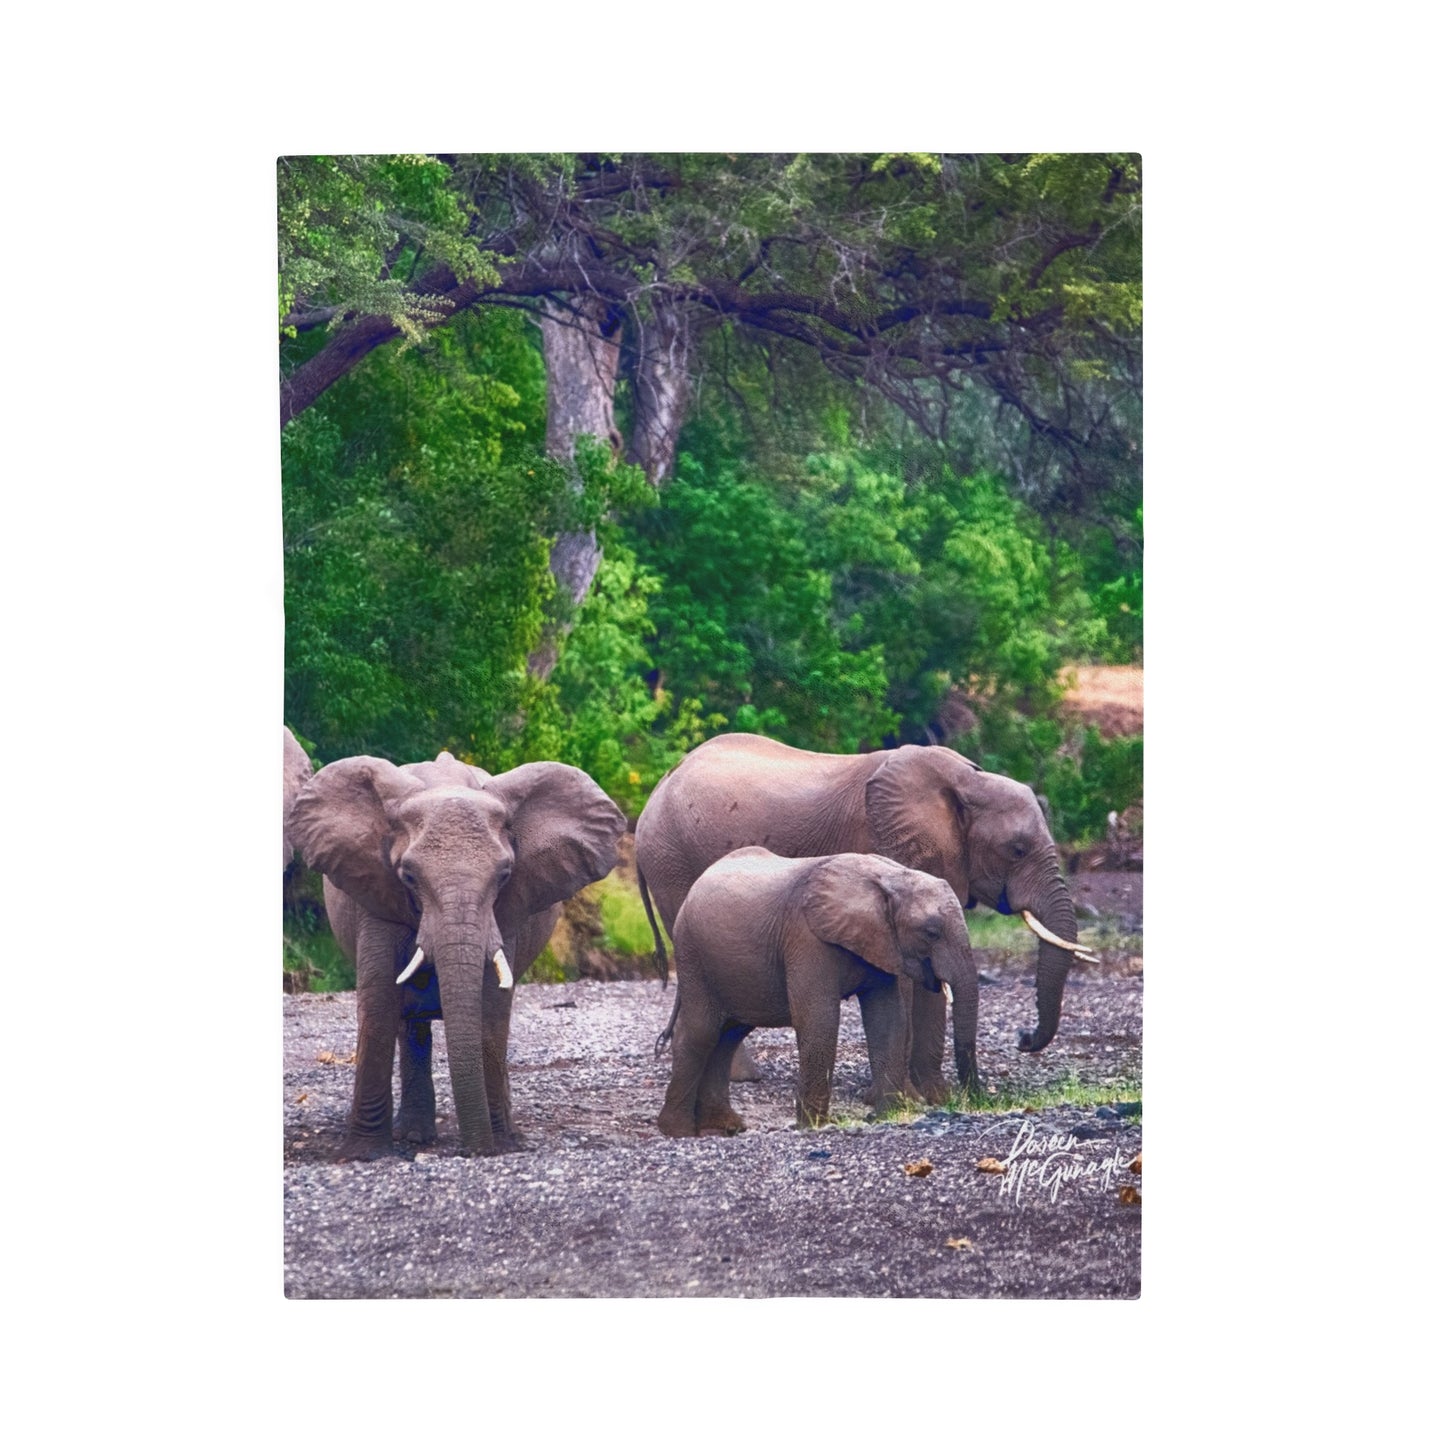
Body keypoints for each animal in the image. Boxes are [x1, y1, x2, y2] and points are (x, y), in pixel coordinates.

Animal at [290, 749, 625, 1158]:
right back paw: (413, 1136)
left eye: (504, 875)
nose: (475, 1151)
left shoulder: (506, 911)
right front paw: (362, 1155)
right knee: (410, 1024)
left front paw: (499, 1144)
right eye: (409, 877)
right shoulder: (375, 891)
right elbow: (380, 1005)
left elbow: (491, 1012)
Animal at [636, 733, 1096, 1102]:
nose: (1023, 1039)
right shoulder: (882, 844)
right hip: (672, 862)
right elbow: (905, 979)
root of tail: (655, 791)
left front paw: (936, 1097)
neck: (967, 781)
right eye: (1017, 850)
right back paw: (741, 1077)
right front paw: (907, 1096)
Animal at [656, 848, 978, 1136]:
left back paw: (724, 1128)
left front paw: (888, 1116)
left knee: (730, 1034)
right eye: (931, 933)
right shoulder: (806, 937)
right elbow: (819, 1018)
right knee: (702, 1032)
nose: (976, 1098)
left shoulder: (881, 943)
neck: (889, 877)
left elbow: (887, 1020)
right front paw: (815, 1125)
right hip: (692, 954)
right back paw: (679, 1131)